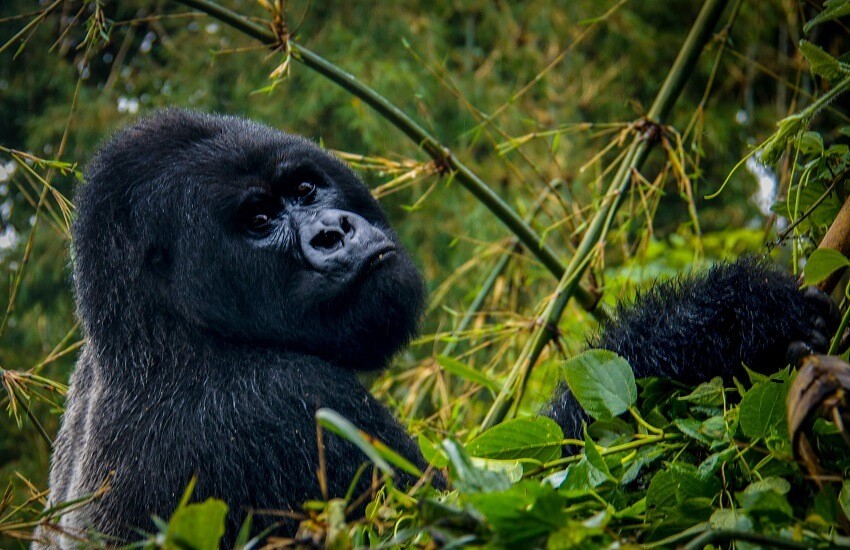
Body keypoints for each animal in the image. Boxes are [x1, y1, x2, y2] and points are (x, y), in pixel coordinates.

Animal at [36, 110, 832, 548]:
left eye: (304, 188)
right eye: (258, 221)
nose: (332, 232)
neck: (160, 335)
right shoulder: (283, 409)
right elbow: (529, 501)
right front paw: (721, 324)